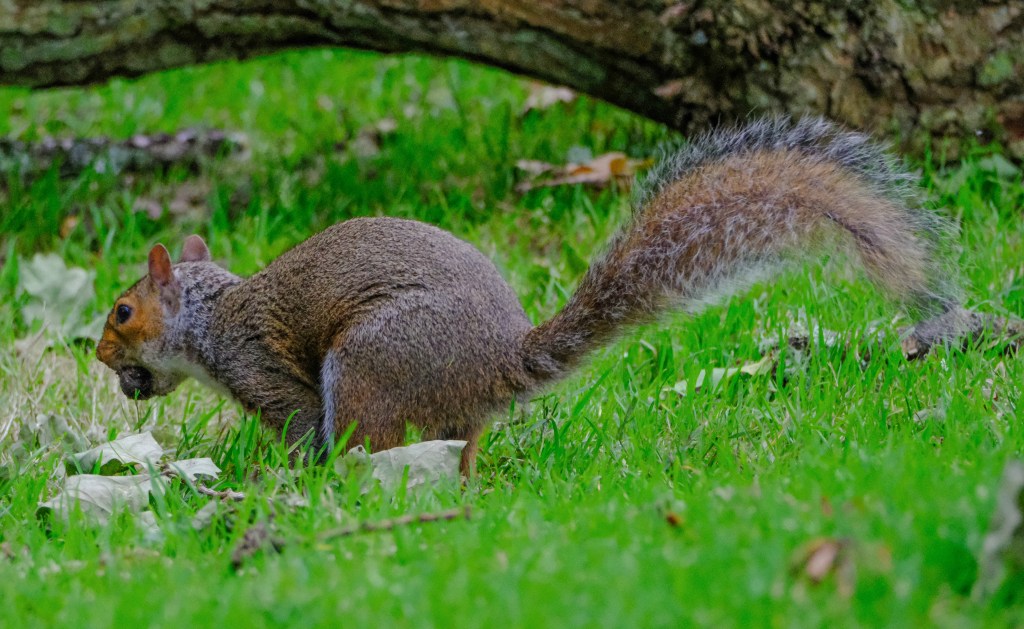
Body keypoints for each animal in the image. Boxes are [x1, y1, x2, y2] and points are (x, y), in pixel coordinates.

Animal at [96, 117, 958, 475]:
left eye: (123, 312)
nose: (97, 351)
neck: (207, 314)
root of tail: (494, 363)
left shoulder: (259, 367)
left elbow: (302, 425)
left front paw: (282, 476)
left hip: (370, 362)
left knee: (371, 439)